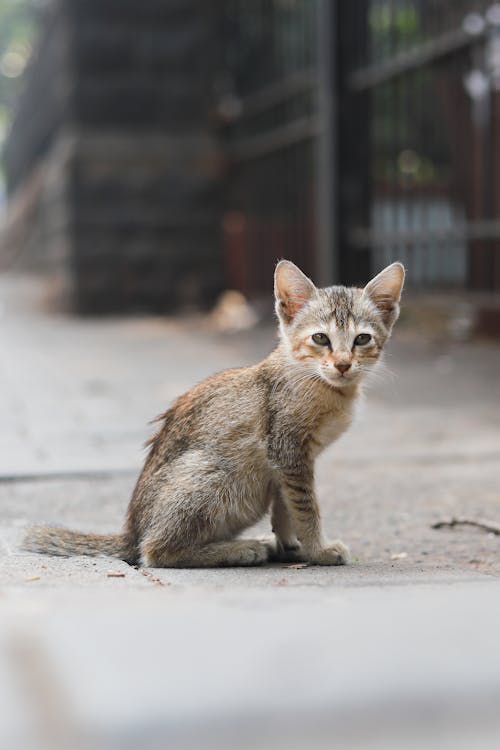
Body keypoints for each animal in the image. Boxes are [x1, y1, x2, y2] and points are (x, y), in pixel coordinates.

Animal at [24, 262, 406, 568]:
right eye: (320, 338)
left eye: (361, 339)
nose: (342, 364)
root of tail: (131, 531)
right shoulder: (289, 452)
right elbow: (306, 508)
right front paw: (318, 549)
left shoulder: (288, 464)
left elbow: (285, 507)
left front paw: (291, 545)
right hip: (215, 475)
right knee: (155, 552)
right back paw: (238, 549)